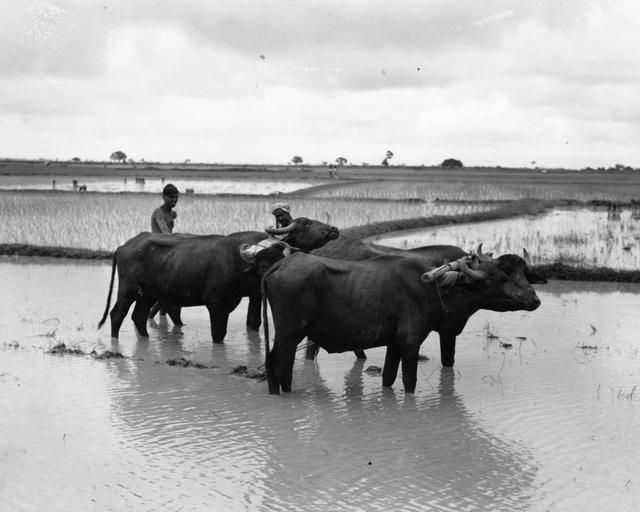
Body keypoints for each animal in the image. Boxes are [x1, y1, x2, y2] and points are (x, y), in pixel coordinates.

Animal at [97, 217, 338, 342]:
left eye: (279, 261)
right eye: (305, 223)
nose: (334, 229)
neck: (237, 264)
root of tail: (123, 247)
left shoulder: (238, 301)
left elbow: (250, 323)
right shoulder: (217, 305)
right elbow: (221, 333)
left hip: (147, 294)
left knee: (140, 316)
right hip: (127, 290)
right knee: (117, 315)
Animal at [260, 250, 544, 394]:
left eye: (523, 273)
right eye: (502, 277)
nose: (534, 299)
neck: (435, 289)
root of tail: (280, 265)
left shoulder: (394, 344)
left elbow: (388, 377)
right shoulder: (410, 343)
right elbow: (409, 380)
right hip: (288, 334)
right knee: (274, 363)